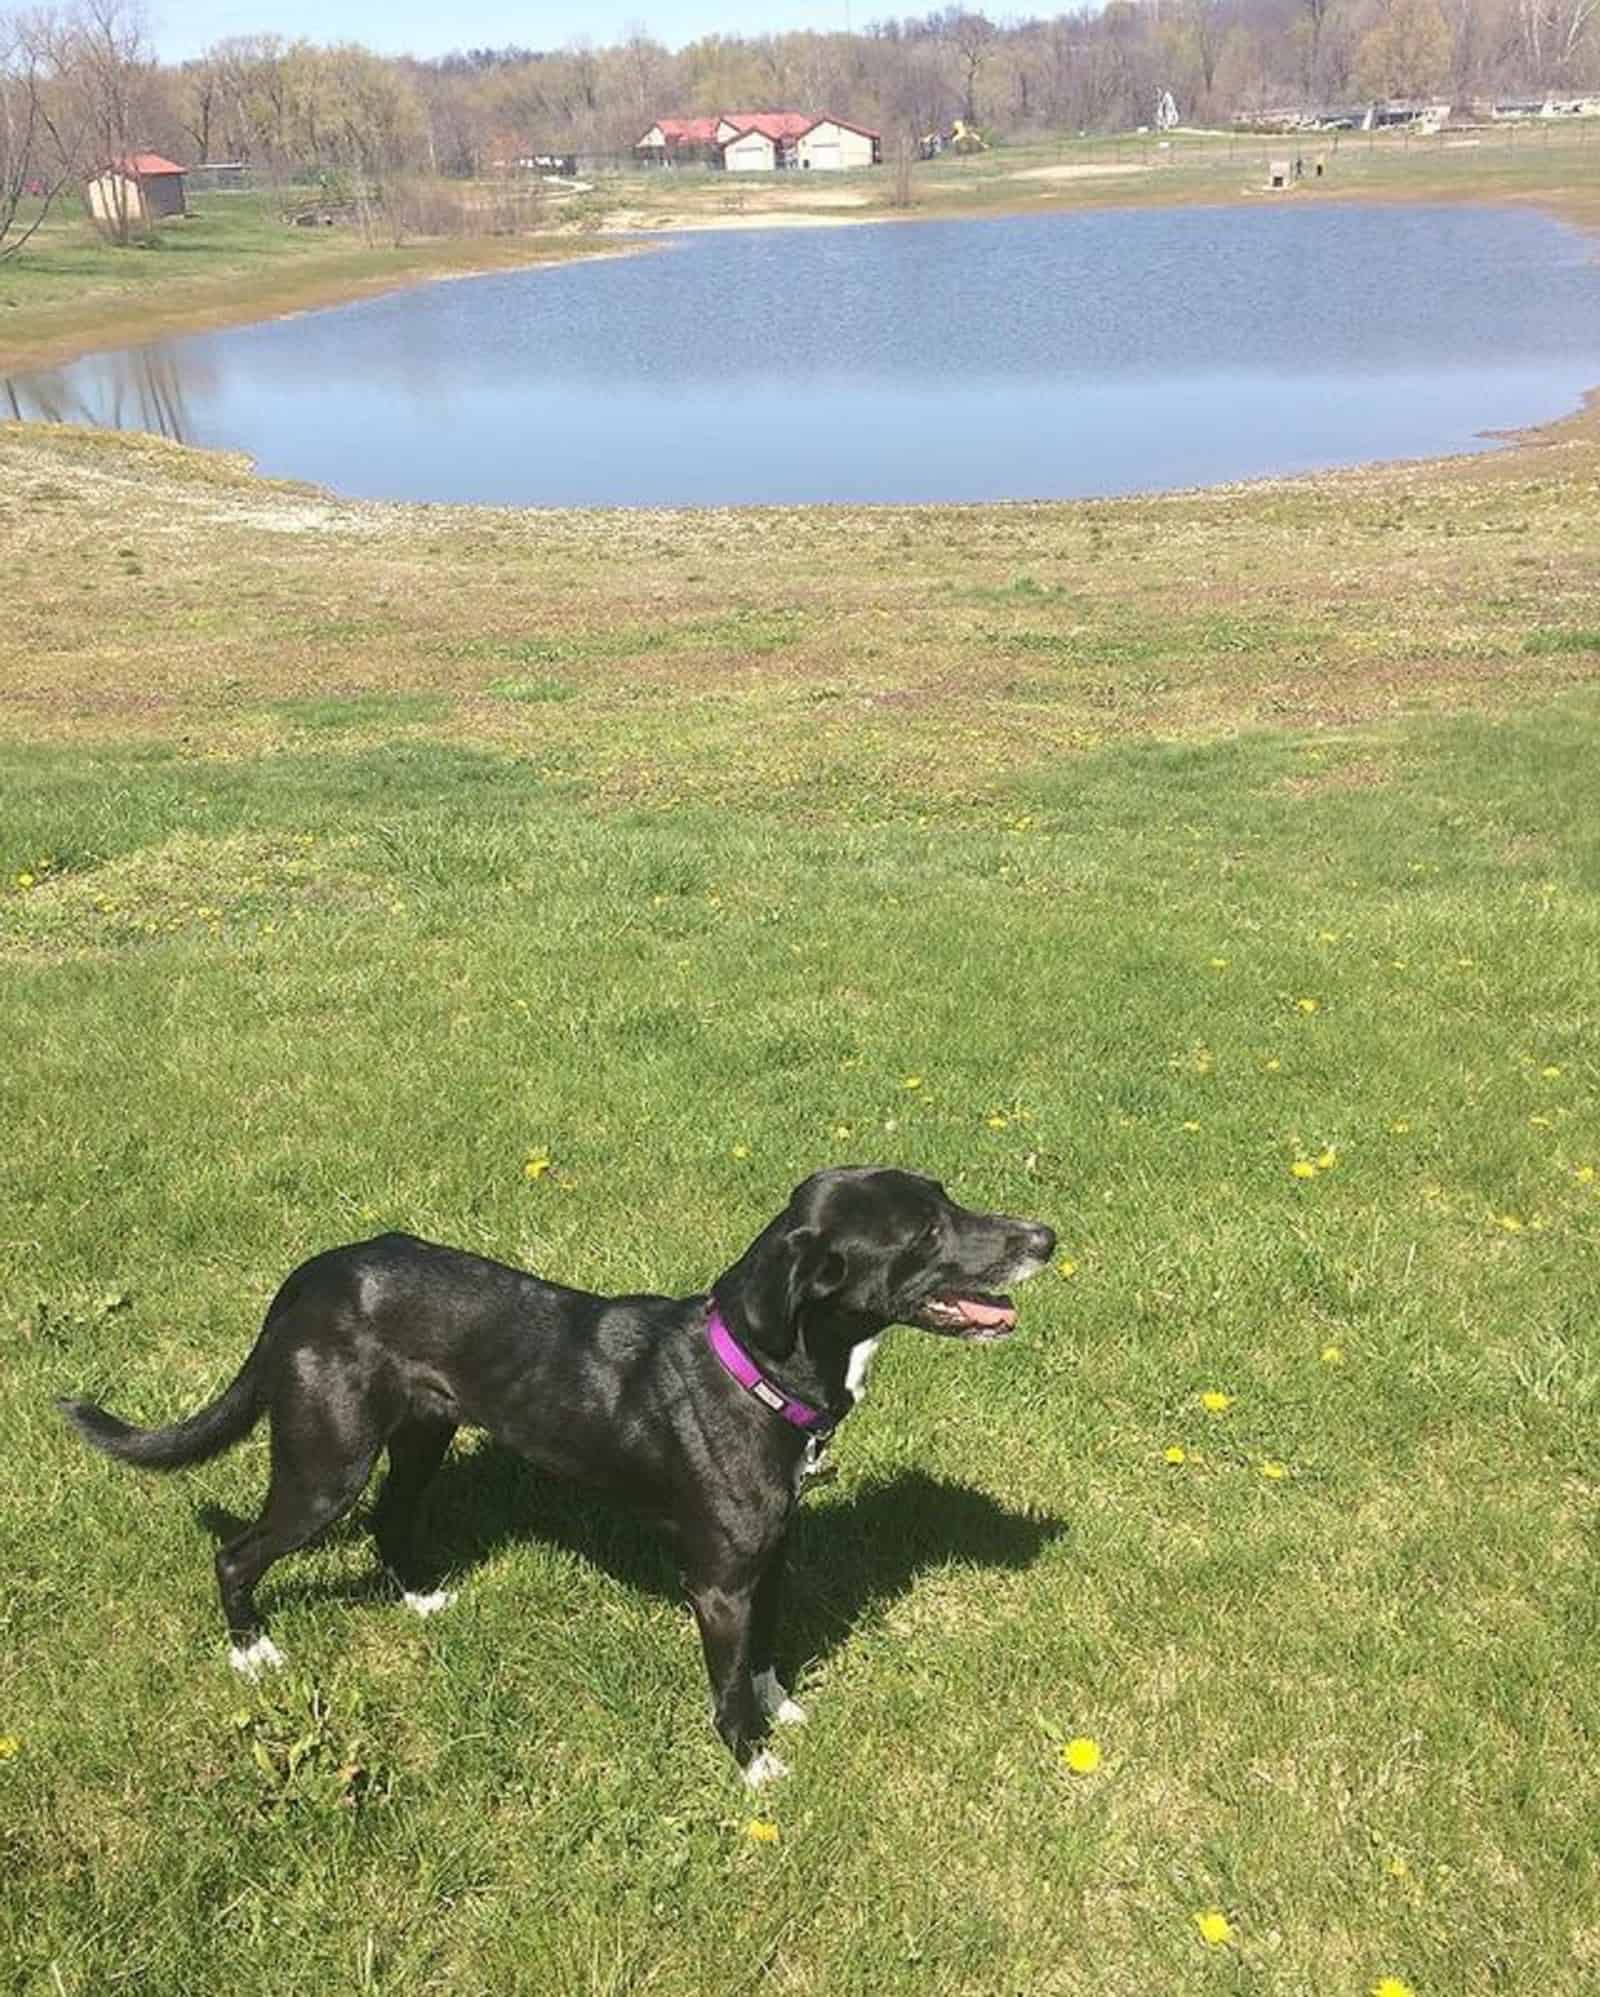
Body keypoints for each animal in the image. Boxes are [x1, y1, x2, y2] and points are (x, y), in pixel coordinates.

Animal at [59, 1166, 1046, 1789]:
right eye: (926, 1232)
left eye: (948, 1195)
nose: (1047, 1234)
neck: (756, 1373)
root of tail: (307, 1279)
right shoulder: (718, 1582)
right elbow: (727, 1685)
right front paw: (754, 1765)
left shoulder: (772, 1554)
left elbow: (766, 1652)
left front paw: (783, 1707)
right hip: (323, 1465)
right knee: (237, 1553)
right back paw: (252, 1651)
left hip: (420, 1439)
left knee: (390, 1524)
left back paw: (421, 1598)